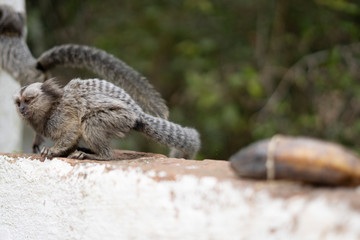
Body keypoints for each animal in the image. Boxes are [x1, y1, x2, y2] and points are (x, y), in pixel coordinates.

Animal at [13, 78, 200, 159]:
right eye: (19, 102)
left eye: (28, 100)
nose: (22, 109)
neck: (50, 107)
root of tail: (137, 113)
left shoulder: (61, 115)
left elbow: (72, 128)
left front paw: (53, 150)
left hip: (120, 118)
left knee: (90, 122)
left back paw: (99, 156)